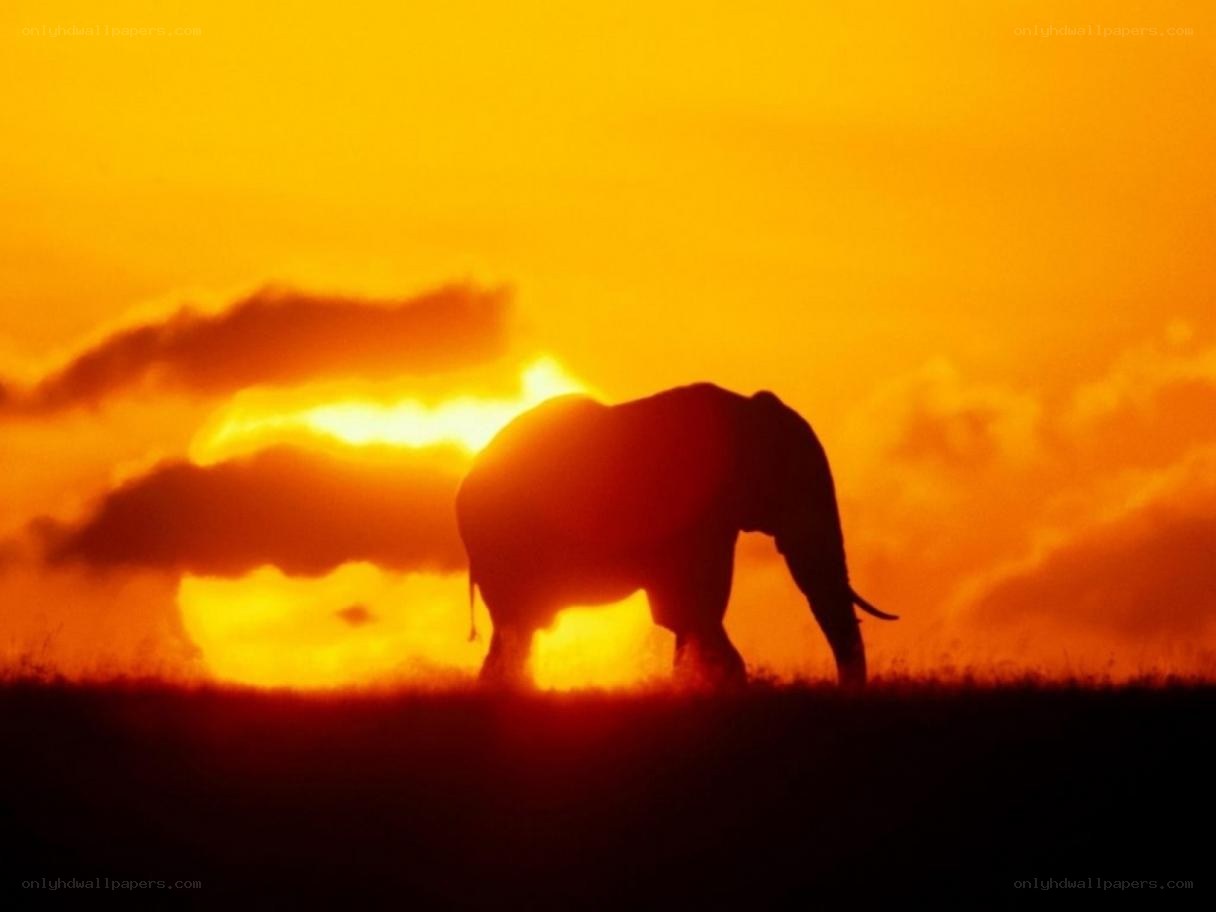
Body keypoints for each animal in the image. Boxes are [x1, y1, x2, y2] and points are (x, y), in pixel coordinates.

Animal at [455, 383, 895, 688]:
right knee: (517, 627)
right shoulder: (692, 511)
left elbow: (687, 616)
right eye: (796, 486)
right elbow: (691, 610)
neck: (743, 410)